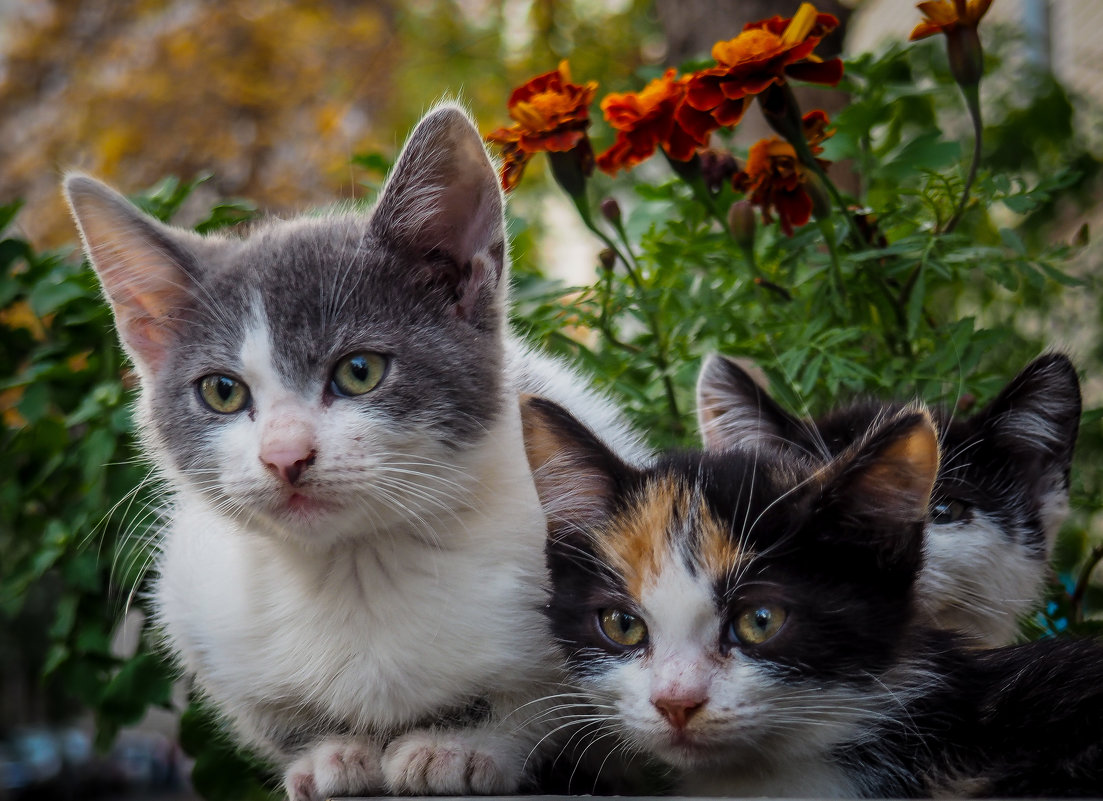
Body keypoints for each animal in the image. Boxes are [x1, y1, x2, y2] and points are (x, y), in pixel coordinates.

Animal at [64, 106, 644, 801]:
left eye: (359, 371)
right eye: (222, 391)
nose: (285, 456)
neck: (356, 567)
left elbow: (538, 702)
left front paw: (459, 748)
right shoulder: (199, 612)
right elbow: (275, 717)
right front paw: (328, 756)